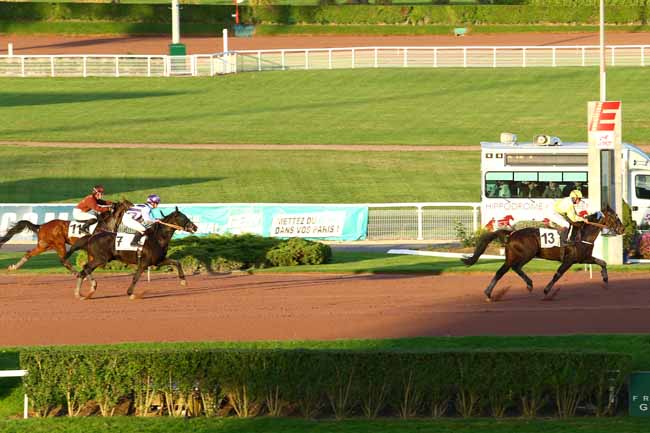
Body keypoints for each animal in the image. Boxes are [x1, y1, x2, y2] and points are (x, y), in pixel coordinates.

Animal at [0, 199, 132, 274]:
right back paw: (75, 272)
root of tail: (42, 225)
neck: (105, 223)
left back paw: (13, 267)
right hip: (59, 244)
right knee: (63, 260)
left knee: (28, 254)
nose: (135, 207)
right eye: (130, 204)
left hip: (44, 245)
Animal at [66, 208, 199, 298]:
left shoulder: (158, 261)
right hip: (101, 259)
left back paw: (79, 294)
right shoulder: (144, 263)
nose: (195, 227)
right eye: (183, 217)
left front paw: (183, 281)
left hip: (99, 259)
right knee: (86, 268)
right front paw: (130, 293)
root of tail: (92, 237)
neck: (157, 238)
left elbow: (177, 262)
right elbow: (136, 277)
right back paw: (93, 286)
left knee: (83, 271)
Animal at [458, 206, 624, 300]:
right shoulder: (569, 260)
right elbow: (558, 274)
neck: (583, 234)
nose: (622, 229)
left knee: (501, 271)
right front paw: (546, 290)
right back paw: (529, 284)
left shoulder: (584, 258)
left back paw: (489, 292)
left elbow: (602, 262)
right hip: (525, 254)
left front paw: (605, 278)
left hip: (511, 256)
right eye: (615, 217)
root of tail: (512, 234)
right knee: (514, 268)